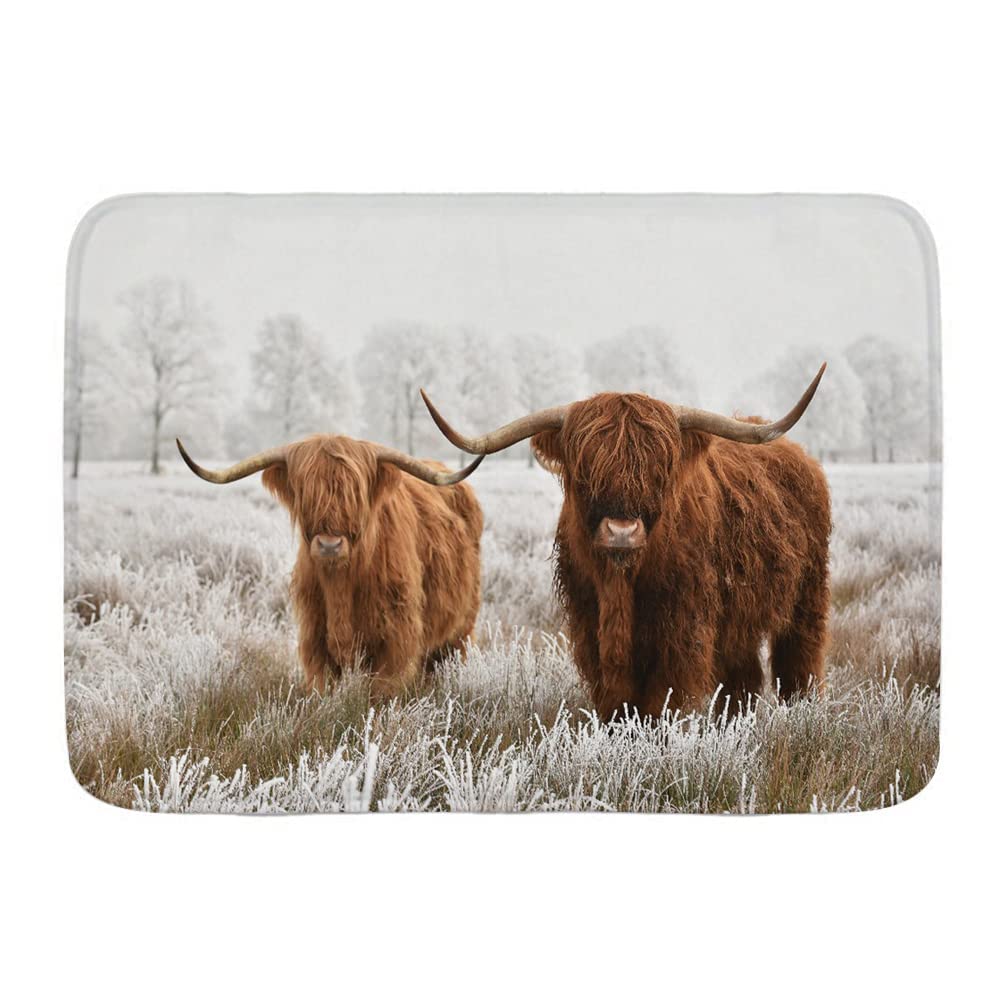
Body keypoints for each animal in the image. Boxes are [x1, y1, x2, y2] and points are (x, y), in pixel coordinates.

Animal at [176, 435, 484, 698]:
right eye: (305, 491)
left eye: (355, 493)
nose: (329, 545)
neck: (341, 583)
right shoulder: (314, 638)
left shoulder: (396, 640)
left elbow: (382, 694)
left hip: (461, 629)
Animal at [420, 366, 831, 720]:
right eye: (584, 470)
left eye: (660, 470)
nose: (621, 531)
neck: (620, 585)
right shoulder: (590, 629)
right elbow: (616, 703)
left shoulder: (682, 634)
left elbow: (660, 703)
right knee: (743, 679)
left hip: (807, 599)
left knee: (799, 662)